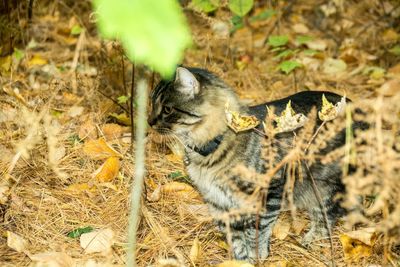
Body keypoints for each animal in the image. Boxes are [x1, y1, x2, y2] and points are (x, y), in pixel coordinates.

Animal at [148, 67, 366, 264]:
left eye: (167, 109)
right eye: (151, 104)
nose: (149, 121)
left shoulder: (269, 191)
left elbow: (257, 230)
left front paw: (257, 255)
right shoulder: (219, 202)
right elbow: (236, 239)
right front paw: (241, 260)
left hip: (326, 186)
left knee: (329, 214)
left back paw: (312, 238)